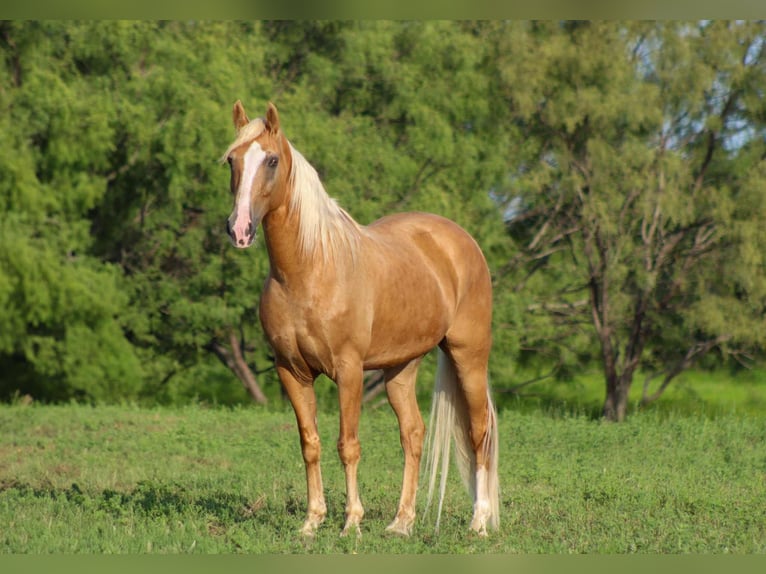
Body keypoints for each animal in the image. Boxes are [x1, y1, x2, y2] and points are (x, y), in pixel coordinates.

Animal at [221, 100, 500, 538]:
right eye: (231, 160)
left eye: (271, 160)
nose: (240, 228)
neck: (309, 270)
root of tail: (461, 241)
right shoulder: (291, 371)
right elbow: (310, 443)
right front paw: (312, 521)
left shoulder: (348, 370)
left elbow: (347, 445)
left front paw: (351, 521)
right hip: (401, 367)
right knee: (413, 434)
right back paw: (401, 523)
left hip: (468, 355)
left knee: (478, 430)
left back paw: (479, 522)